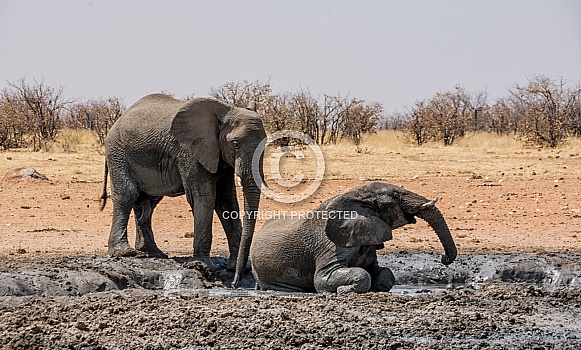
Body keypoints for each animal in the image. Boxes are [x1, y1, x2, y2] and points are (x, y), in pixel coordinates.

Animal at [100, 93, 266, 288]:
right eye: (236, 144)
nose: (235, 284)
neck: (223, 112)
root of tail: (118, 120)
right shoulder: (191, 152)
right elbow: (205, 197)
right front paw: (202, 265)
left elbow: (226, 201)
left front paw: (236, 267)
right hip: (117, 153)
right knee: (128, 195)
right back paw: (124, 252)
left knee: (148, 202)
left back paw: (153, 253)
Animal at [251, 182, 456, 294]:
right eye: (397, 195)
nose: (444, 258)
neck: (356, 196)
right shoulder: (331, 244)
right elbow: (324, 279)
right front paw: (343, 290)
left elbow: (385, 274)